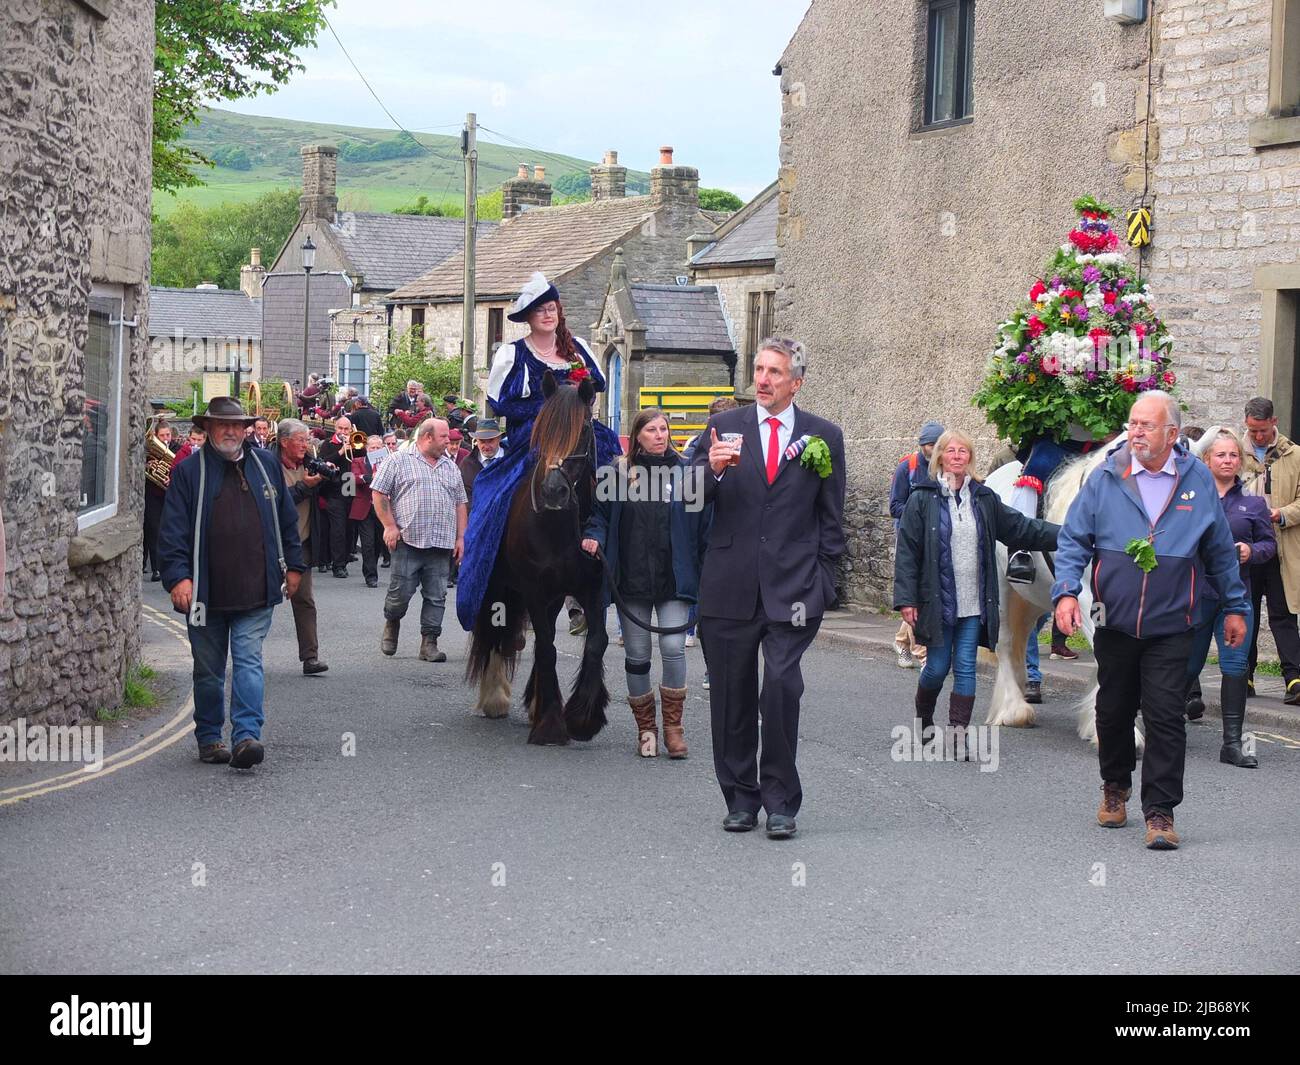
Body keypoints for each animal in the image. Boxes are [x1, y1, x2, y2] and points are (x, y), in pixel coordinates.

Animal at [465, 371, 611, 743]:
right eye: (541, 428)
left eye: (583, 430)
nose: (553, 491)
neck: (562, 528)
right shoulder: (533, 589)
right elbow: (546, 647)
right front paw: (551, 724)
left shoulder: (592, 587)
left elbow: (596, 643)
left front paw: (582, 717)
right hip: (497, 586)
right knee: (497, 634)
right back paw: (495, 697)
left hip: (554, 596)